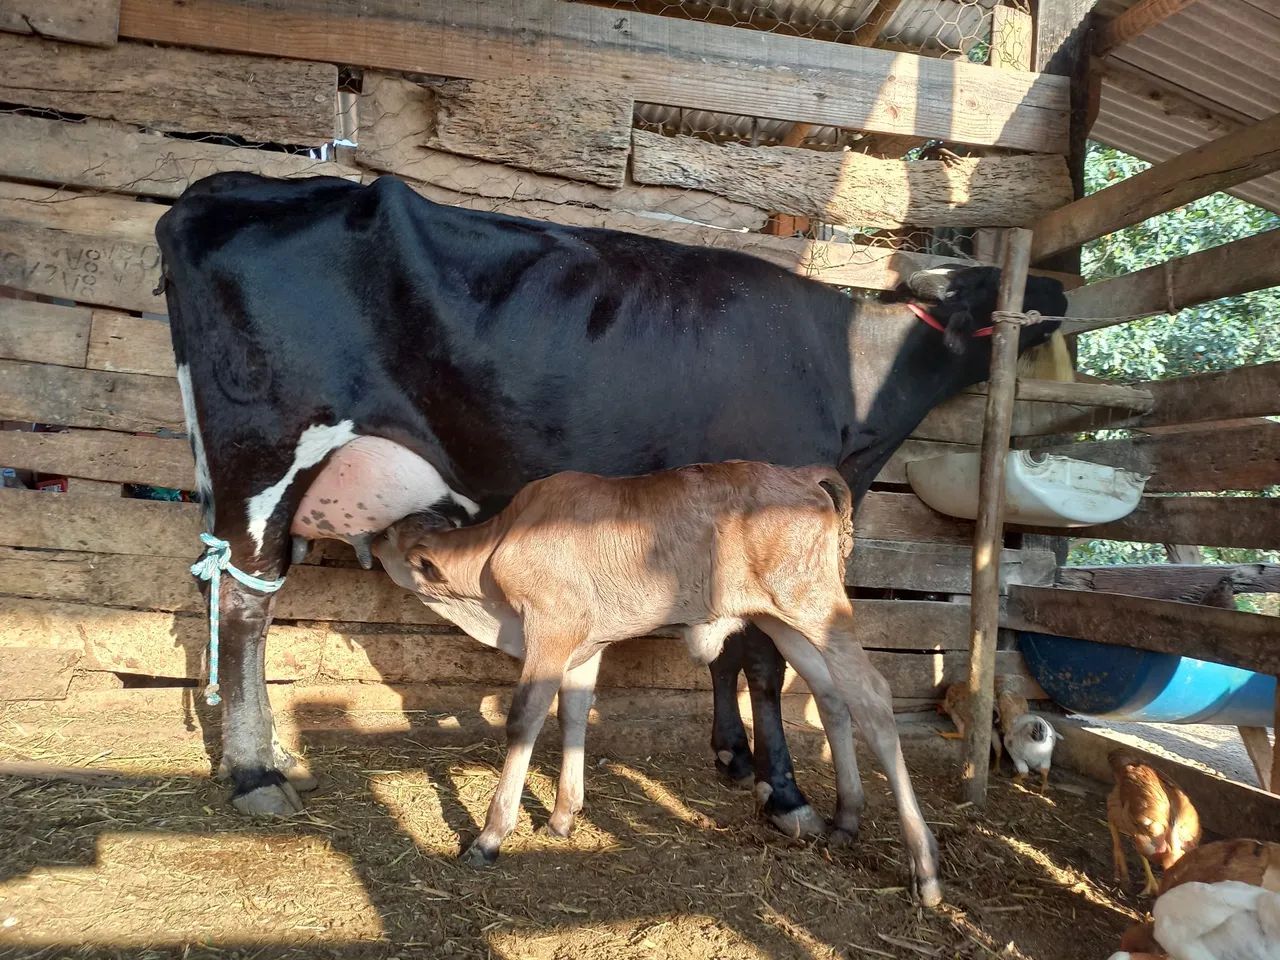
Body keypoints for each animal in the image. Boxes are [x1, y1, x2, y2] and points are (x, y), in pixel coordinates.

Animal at [154, 172, 1066, 838]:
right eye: (989, 290)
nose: (1057, 285)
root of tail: (222, 188)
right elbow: (760, 663)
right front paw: (784, 792)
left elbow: (724, 649)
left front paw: (731, 757)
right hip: (264, 452)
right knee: (244, 601)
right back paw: (256, 774)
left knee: (218, 585)